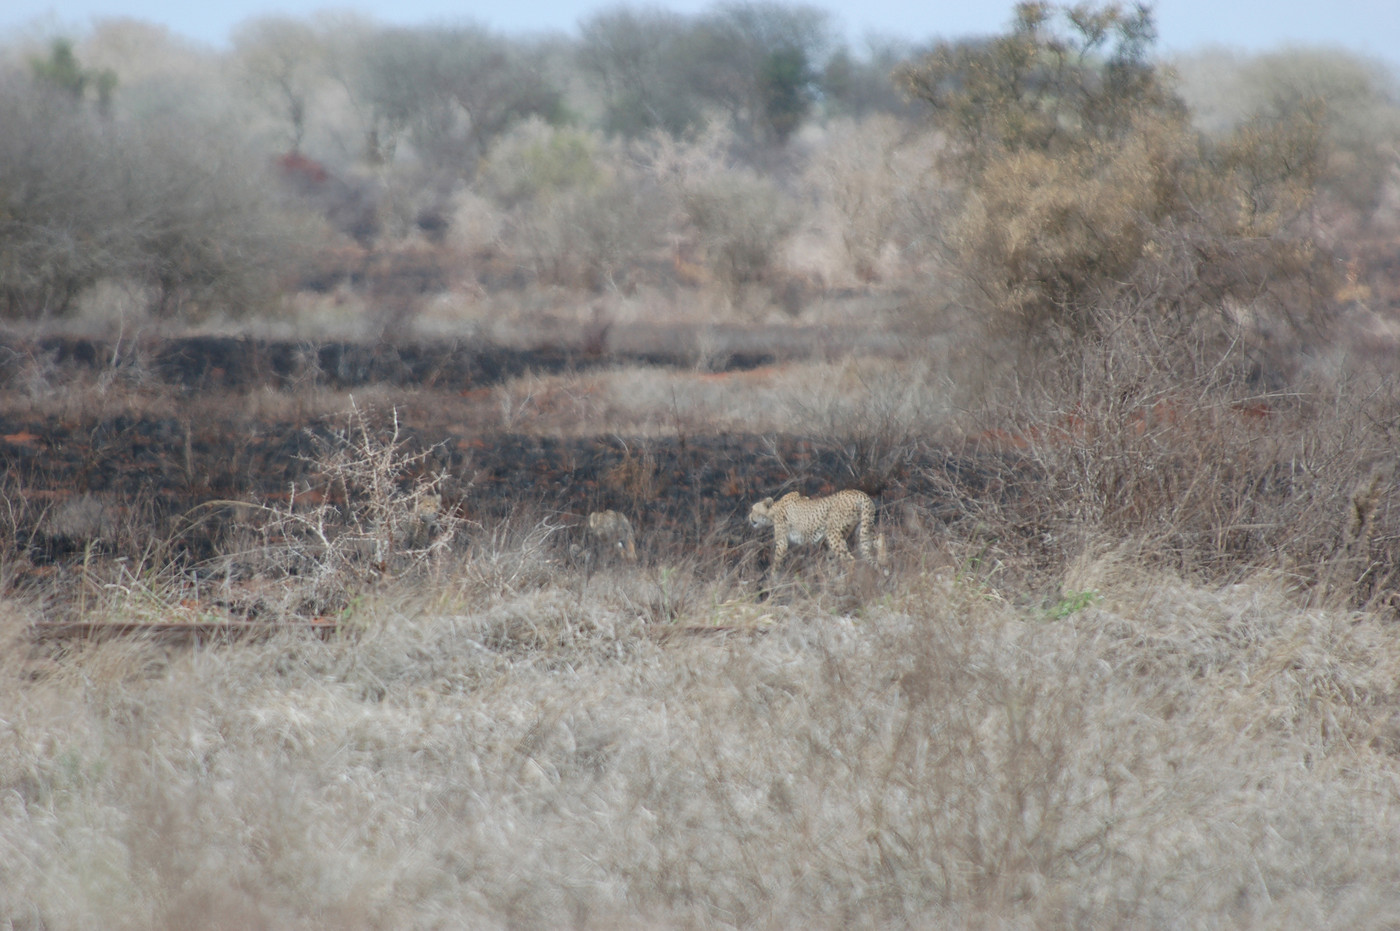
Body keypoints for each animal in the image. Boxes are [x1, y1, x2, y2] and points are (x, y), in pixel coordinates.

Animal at [744, 490, 884, 571]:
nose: (749, 517)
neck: (774, 510)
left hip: (833, 534)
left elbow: (776, 563)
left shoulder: (782, 543)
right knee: (879, 539)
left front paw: (772, 582)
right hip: (861, 530)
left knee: (850, 560)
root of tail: (861, 494)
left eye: (753, 509)